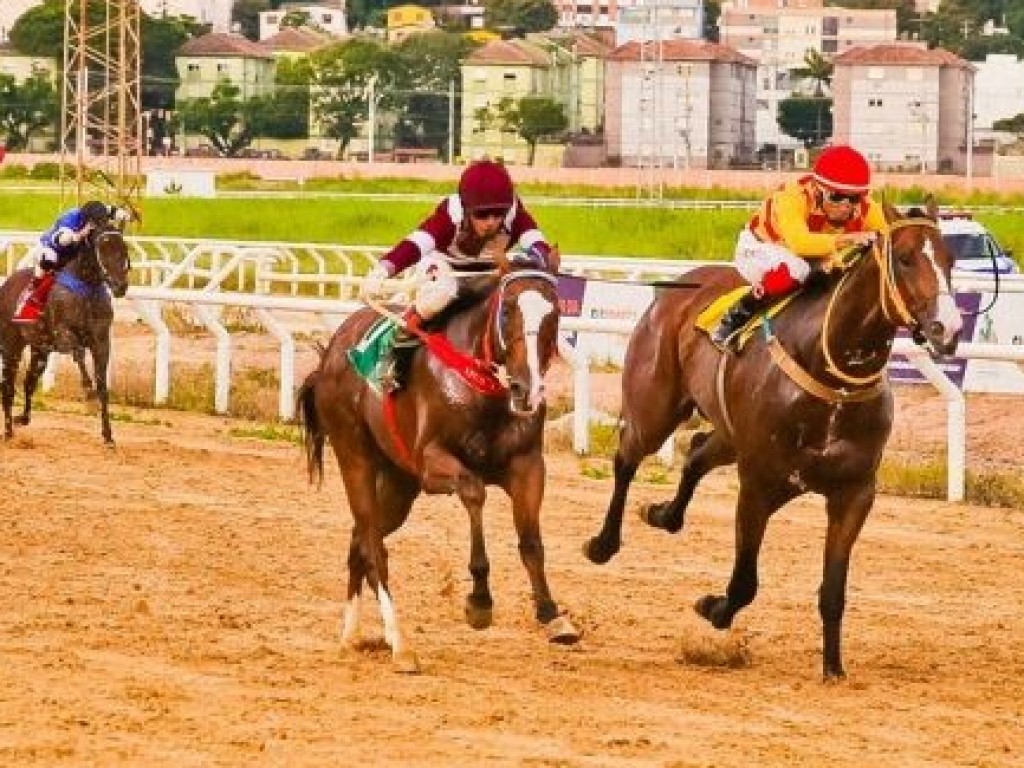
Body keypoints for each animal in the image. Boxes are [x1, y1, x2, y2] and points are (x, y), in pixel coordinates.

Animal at [0, 222, 132, 448]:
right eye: (102, 248)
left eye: (124, 248)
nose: (120, 286)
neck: (86, 288)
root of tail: (7, 283)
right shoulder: (63, 334)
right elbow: (78, 353)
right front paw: (89, 396)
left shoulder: (101, 342)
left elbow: (103, 386)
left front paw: (108, 436)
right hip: (11, 346)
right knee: (7, 386)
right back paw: (8, 433)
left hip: (39, 349)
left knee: (29, 382)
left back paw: (22, 418)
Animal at [299, 250, 581, 671]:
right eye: (508, 309)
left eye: (555, 313)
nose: (527, 388)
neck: (487, 393)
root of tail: (332, 352)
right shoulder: (432, 463)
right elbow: (475, 491)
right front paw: (479, 599)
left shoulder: (528, 465)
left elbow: (531, 541)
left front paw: (552, 614)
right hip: (355, 458)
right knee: (373, 546)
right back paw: (400, 644)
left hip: (398, 483)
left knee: (359, 542)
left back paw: (351, 635)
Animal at [581, 196, 962, 679]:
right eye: (907, 257)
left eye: (950, 261)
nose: (947, 329)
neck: (831, 373)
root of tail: (679, 286)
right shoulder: (758, 482)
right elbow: (745, 582)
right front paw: (715, 608)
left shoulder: (854, 493)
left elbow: (832, 591)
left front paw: (833, 669)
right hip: (655, 407)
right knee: (627, 459)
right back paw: (603, 544)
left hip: (729, 435)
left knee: (697, 452)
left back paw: (664, 515)